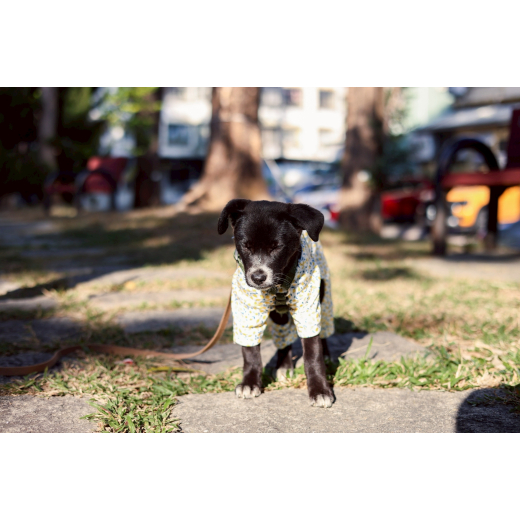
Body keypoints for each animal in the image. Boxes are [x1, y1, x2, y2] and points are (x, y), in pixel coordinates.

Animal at [218, 199, 335, 408]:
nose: (257, 277)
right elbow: (250, 353)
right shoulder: (247, 311)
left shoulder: (307, 310)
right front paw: (250, 382)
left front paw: (320, 390)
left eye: (276, 246)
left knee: (324, 329)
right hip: (279, 316)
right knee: (283, 337)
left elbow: (313, 352)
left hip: (324, 292)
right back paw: (284, 365)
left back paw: (326, 355)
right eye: (246, 246)